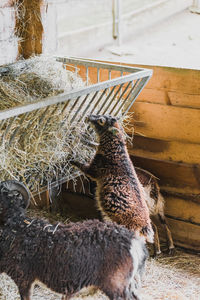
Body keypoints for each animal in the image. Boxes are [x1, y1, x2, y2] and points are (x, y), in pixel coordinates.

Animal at [71, 115, 154, 244]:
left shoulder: (94, 170)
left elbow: (83, 166)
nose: (88, 117)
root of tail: (144, 225)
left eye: (101, 120)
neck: (116, 151)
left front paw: (72, 160)